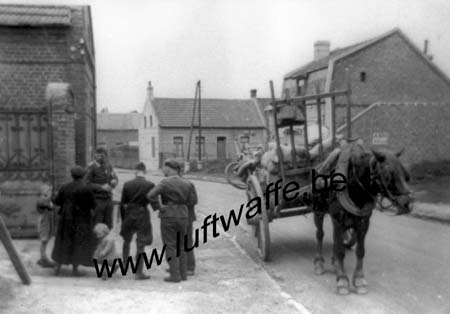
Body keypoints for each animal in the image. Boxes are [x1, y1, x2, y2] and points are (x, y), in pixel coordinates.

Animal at [312, 142, 412, 294]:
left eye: (406, 175)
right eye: (388, 174)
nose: (407, 204)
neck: (353, 184)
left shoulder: (363, 222)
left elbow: (360, 251)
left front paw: (359, 279)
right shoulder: (338, 218)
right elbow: (340, 250)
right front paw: (342, 280)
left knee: (337, 239)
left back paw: (335, 263)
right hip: (319, 212)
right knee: (320, 235)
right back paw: (319, 263)